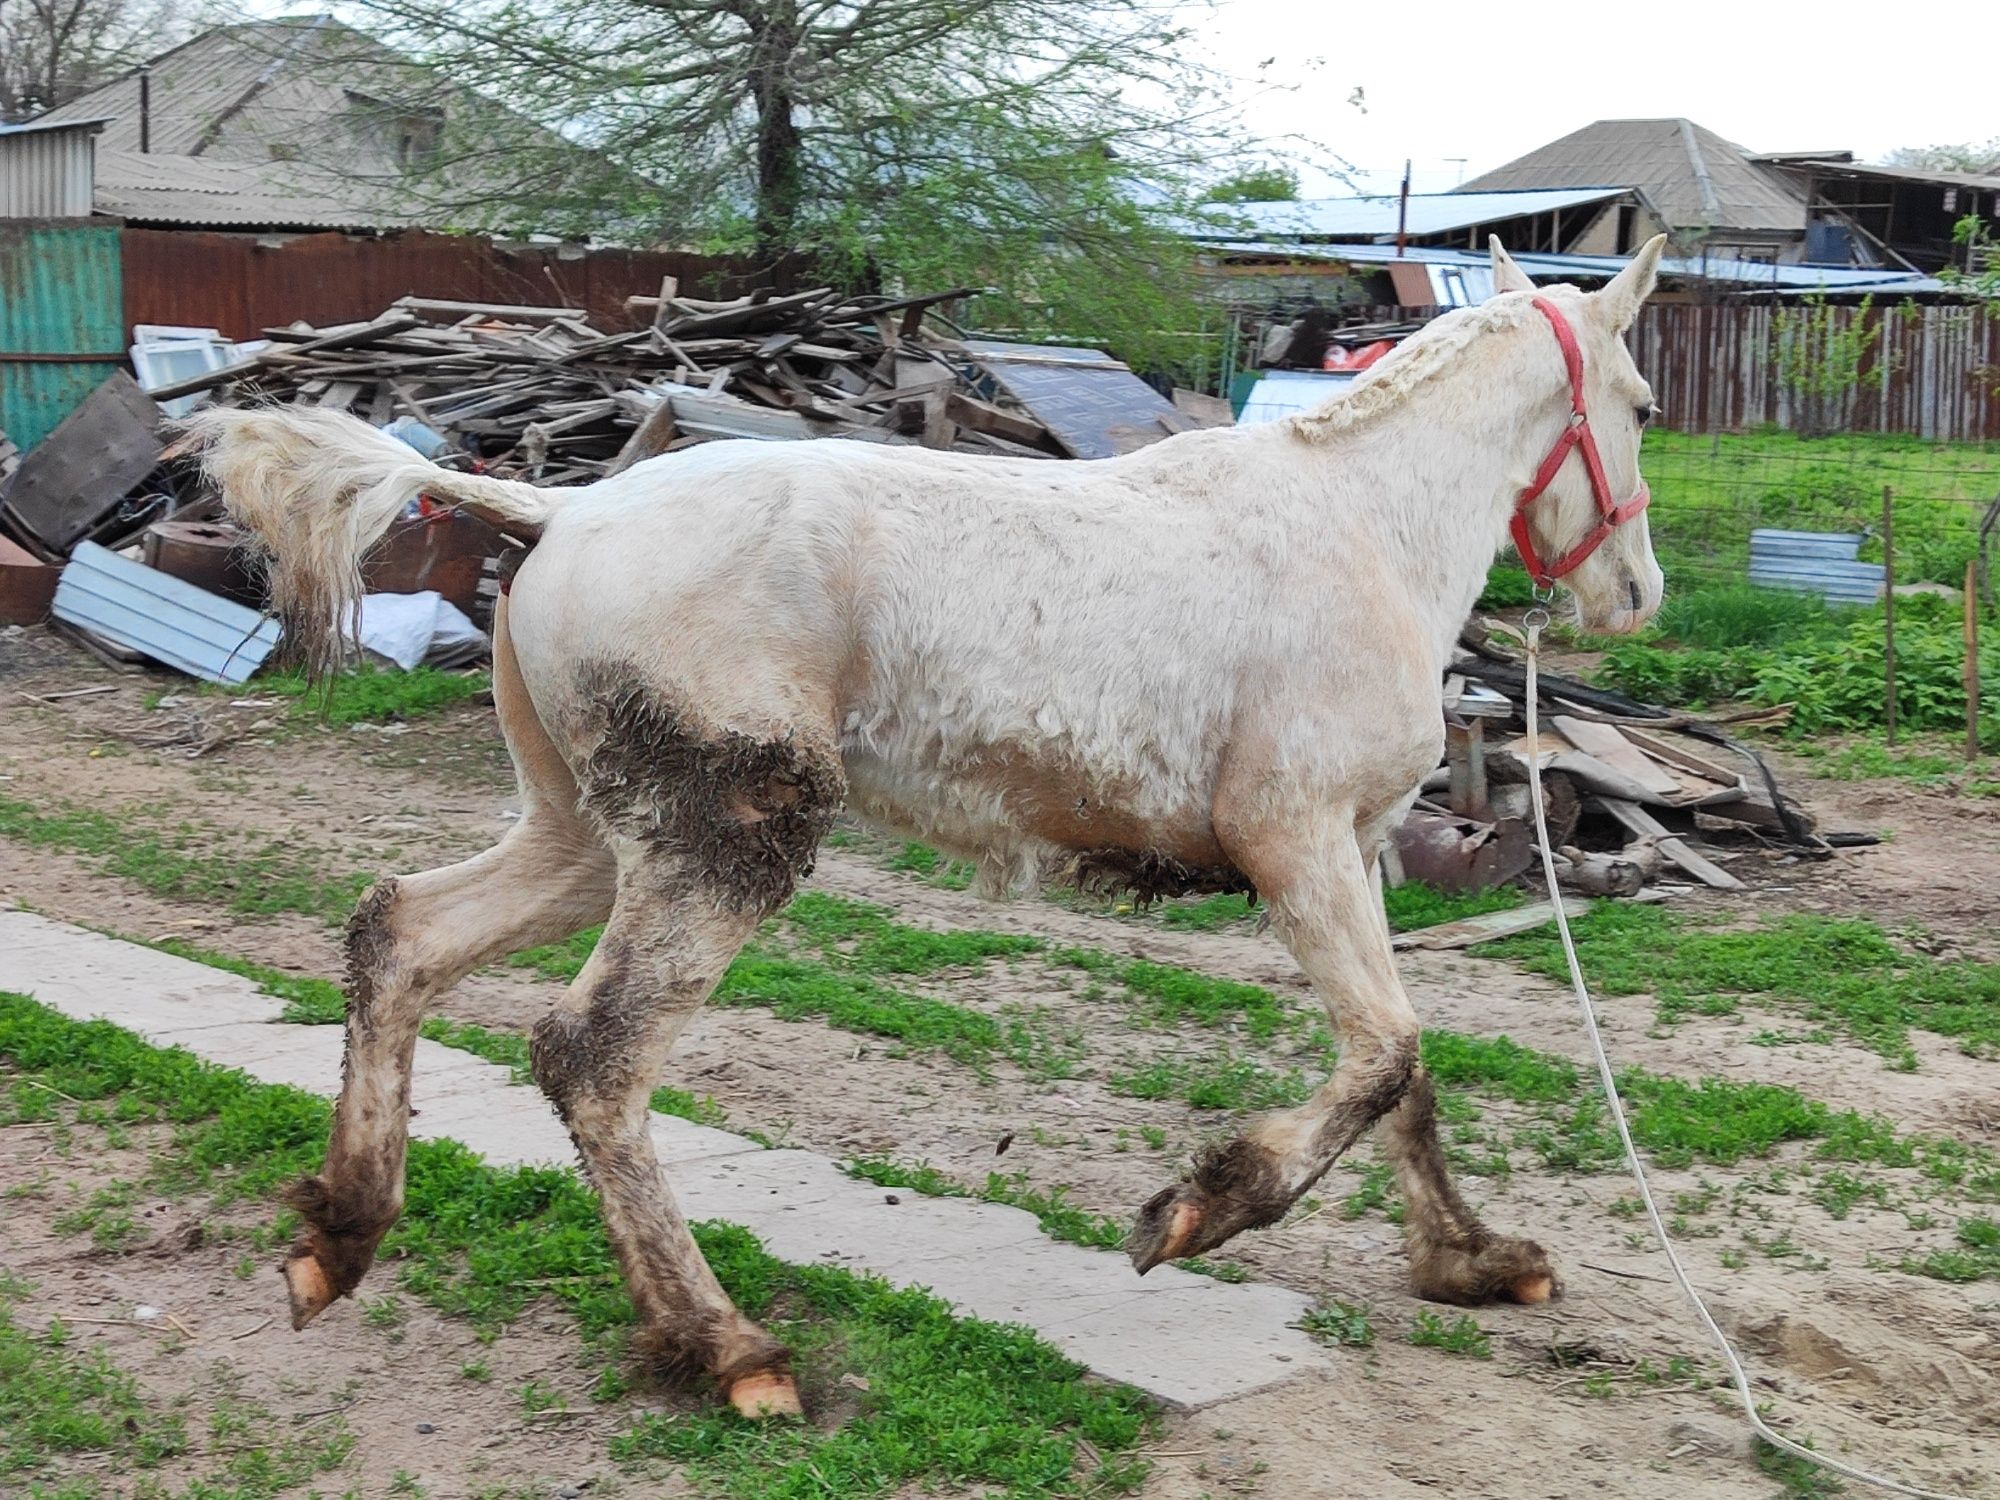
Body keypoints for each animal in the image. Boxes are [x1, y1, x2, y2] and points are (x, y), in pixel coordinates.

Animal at [188, 235, 1664, 1424]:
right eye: (1644, 405)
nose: (1636, 595)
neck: (1361, 525)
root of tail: (566, 507)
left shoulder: (1354, 850)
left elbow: (1408, 1072)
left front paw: (1474, 1262)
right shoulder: (1293, 845)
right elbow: (1382, 1055)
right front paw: (1191, 1213)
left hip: (583, 837)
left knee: (400, 936)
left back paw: (339, 1238)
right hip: (726, 845)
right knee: (592, 1058)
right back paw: (727, 1350)